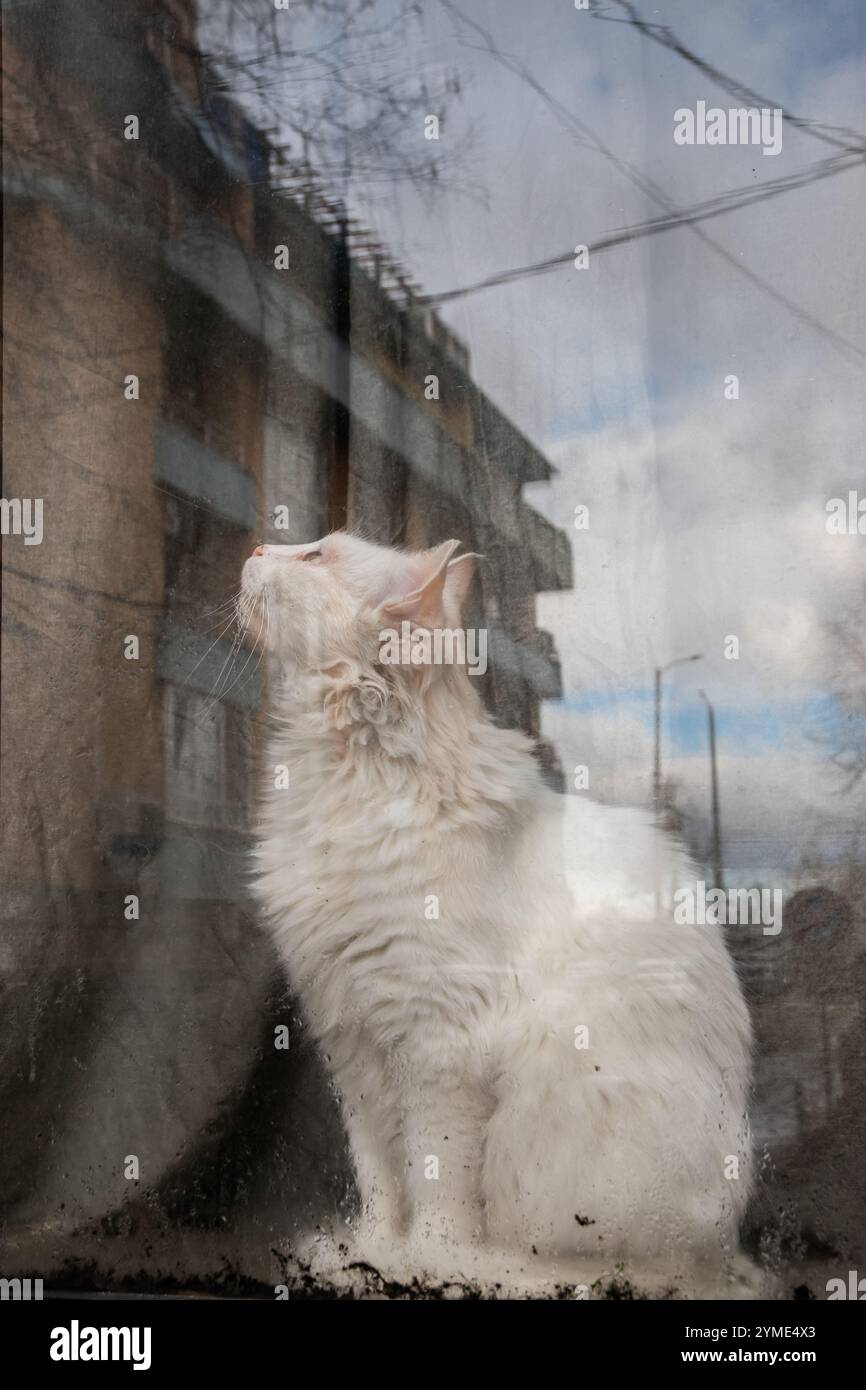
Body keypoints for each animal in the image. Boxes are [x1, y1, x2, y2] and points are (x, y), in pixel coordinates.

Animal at [240, 528, 756, 1278]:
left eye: (317, 556)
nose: (254, 548)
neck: (345, 779)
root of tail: (724, 1249)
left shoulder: (437, 1043)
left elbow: (435, 1178)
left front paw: (429, 1260)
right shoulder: (354, 1045)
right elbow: (379, 1177)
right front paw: (372, 1253)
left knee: (604, 1261)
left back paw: (510, 1268)